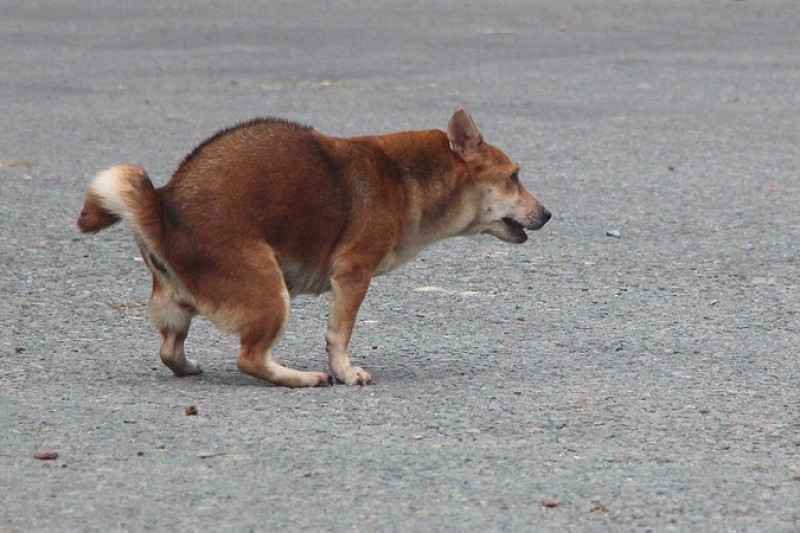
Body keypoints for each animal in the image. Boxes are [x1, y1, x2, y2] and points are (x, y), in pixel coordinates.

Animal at [76, 107, 552, 386]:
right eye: (514, 177)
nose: (547, 213)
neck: (405, 178)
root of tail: (163, 206)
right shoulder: (353, 275)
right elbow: (338, 335)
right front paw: (343, 372)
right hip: (269, 291)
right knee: (249, 358)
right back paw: (302, 378)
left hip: (177, 306)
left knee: (170, 350)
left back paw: (190, 366)